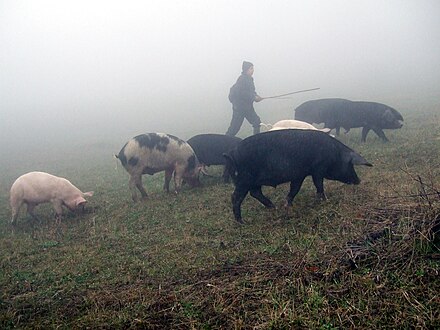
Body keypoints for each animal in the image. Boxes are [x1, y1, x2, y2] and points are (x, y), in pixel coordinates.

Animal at [223, 130, 372, 223]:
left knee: (255, 193)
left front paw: (288, 205)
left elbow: (294, 189)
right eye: (351, 165)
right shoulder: (318, 169)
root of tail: (230, 153)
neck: (335, 153)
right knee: (236, 197)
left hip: (251, 182)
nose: (358, 180)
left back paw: (273, 207)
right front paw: (324, 200)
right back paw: (242, 222)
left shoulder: (299, 175)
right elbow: (319, 185)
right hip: (243, 180)